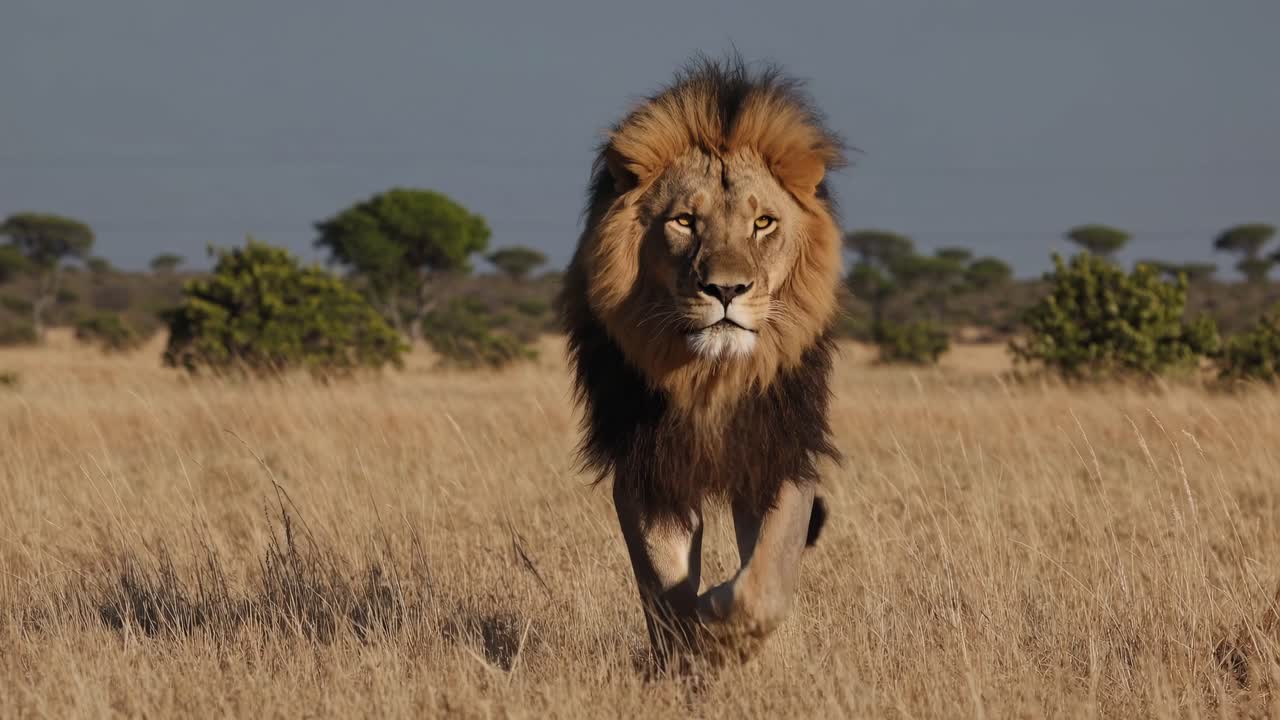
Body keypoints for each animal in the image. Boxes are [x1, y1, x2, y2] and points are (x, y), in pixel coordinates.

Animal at [560, 56, 844, 668]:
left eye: (763, 223)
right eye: (685, 221)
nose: (726, 289)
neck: (711, 376)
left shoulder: (778, 451)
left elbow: (767, 576)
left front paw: (725, 622)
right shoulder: (647, 469)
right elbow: (664, 587)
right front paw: (691, 653)